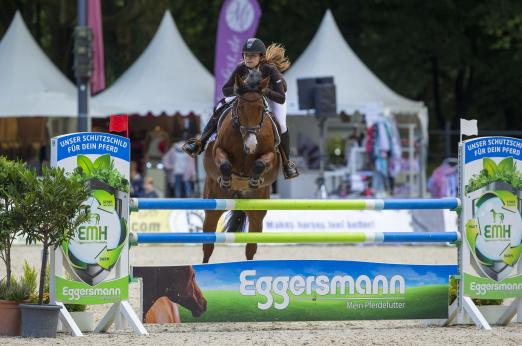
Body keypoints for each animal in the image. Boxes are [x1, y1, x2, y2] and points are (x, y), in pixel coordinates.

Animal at [201, 69, 278, 262]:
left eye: (261, 108)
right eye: (241, 107)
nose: (251, 145)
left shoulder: (271, 155)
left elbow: (260, 163)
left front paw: (253, 180)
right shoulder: (218, 150)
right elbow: (225, 165)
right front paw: (227, 180)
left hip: (257, 211)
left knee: (251, 247)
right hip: (213, 206)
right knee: (207, 246)